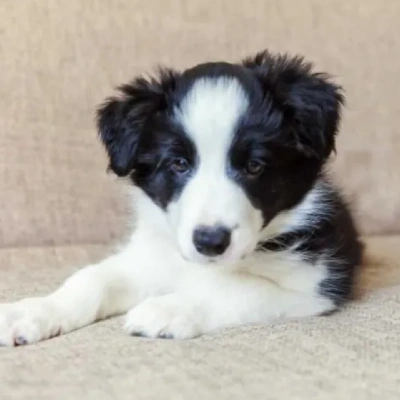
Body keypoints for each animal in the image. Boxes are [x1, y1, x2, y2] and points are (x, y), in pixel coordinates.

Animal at [0, 49, 362, 344]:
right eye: (179, 164)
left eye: (255, 165)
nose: (210, 242)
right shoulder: (149, 257)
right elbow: (91, 279)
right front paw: (33, 311)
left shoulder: (313, 285)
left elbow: (233, 287)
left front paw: (166, 309)